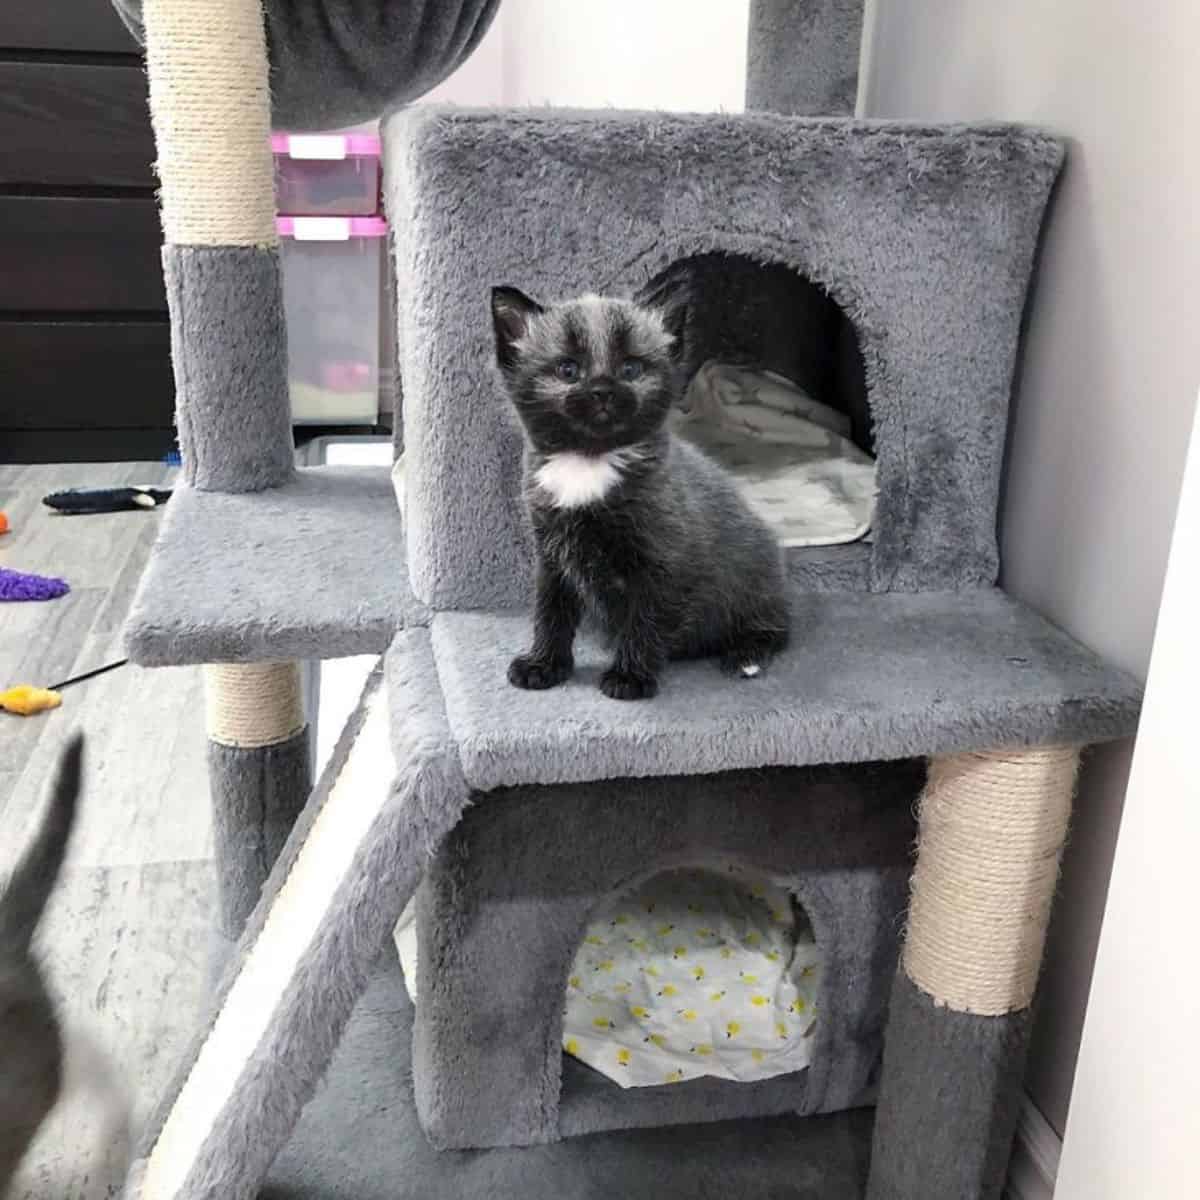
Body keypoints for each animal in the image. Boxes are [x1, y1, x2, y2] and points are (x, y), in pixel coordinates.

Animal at [487, 283, 787, 700]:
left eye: (630, 369)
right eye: (567, 369)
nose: (602, 391)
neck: (591, 461)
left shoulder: (661, 561)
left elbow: (644, 619)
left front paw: (631, 676)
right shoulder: (551, 556)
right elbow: (550, 613)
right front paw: (543, 665)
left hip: (756, 585)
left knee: (776, 627)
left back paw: (747, 655)